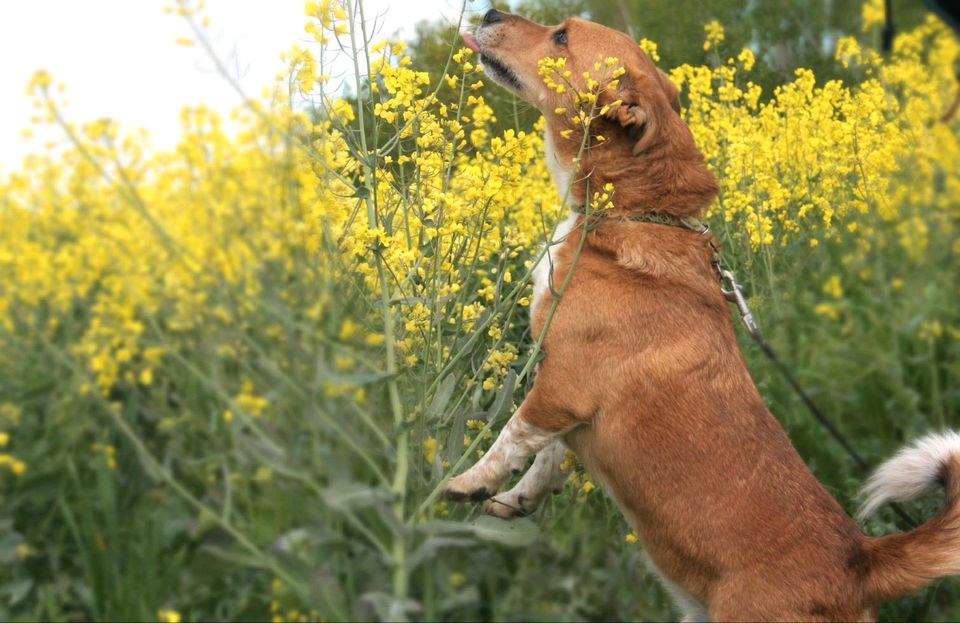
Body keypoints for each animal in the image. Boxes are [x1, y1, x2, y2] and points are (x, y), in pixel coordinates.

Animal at [446, 9, 960, 623]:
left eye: (562, 37)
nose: (490, 13)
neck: (636, 211)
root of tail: (860, 563)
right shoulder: (570, 406)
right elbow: (549, 458)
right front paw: (511, 498)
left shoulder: (561, 387)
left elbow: (512, 437)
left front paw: (465, 483)